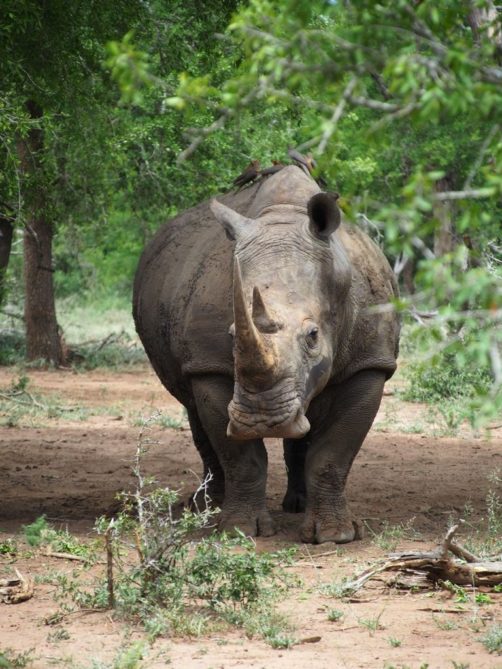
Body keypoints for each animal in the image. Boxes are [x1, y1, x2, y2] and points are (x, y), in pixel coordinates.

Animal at [133, 166, 399, 543]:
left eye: (313, 336)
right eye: (231, 335)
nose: (261, 420)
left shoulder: (369, 364)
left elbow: (332, 456)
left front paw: (335, 536)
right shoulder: (209, 366)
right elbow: (241, 457)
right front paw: (239, 530)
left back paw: (297, 506)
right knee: (193, 412)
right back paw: (205, 508)